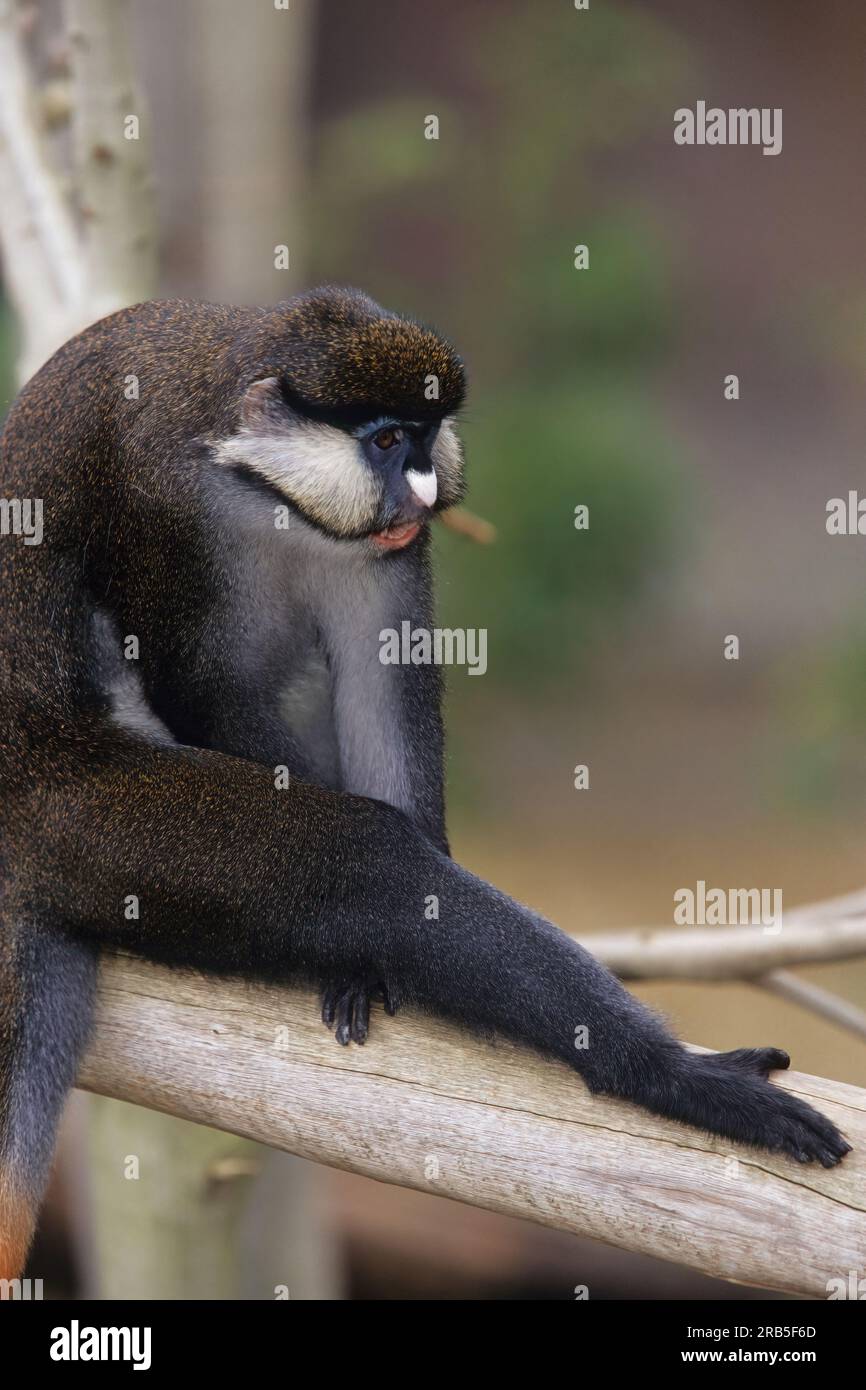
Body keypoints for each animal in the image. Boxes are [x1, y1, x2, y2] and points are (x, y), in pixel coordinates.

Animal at [0, 287, 850, 1280]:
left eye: (428, 433)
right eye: (383, 441)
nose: (427, 491)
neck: (259, 487)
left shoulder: (384, 553)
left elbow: (383, 688)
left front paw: (370, 960)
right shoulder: (163, 506)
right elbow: (207, 690)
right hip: (82, 822)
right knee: (362, 858)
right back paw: (665, 1076)